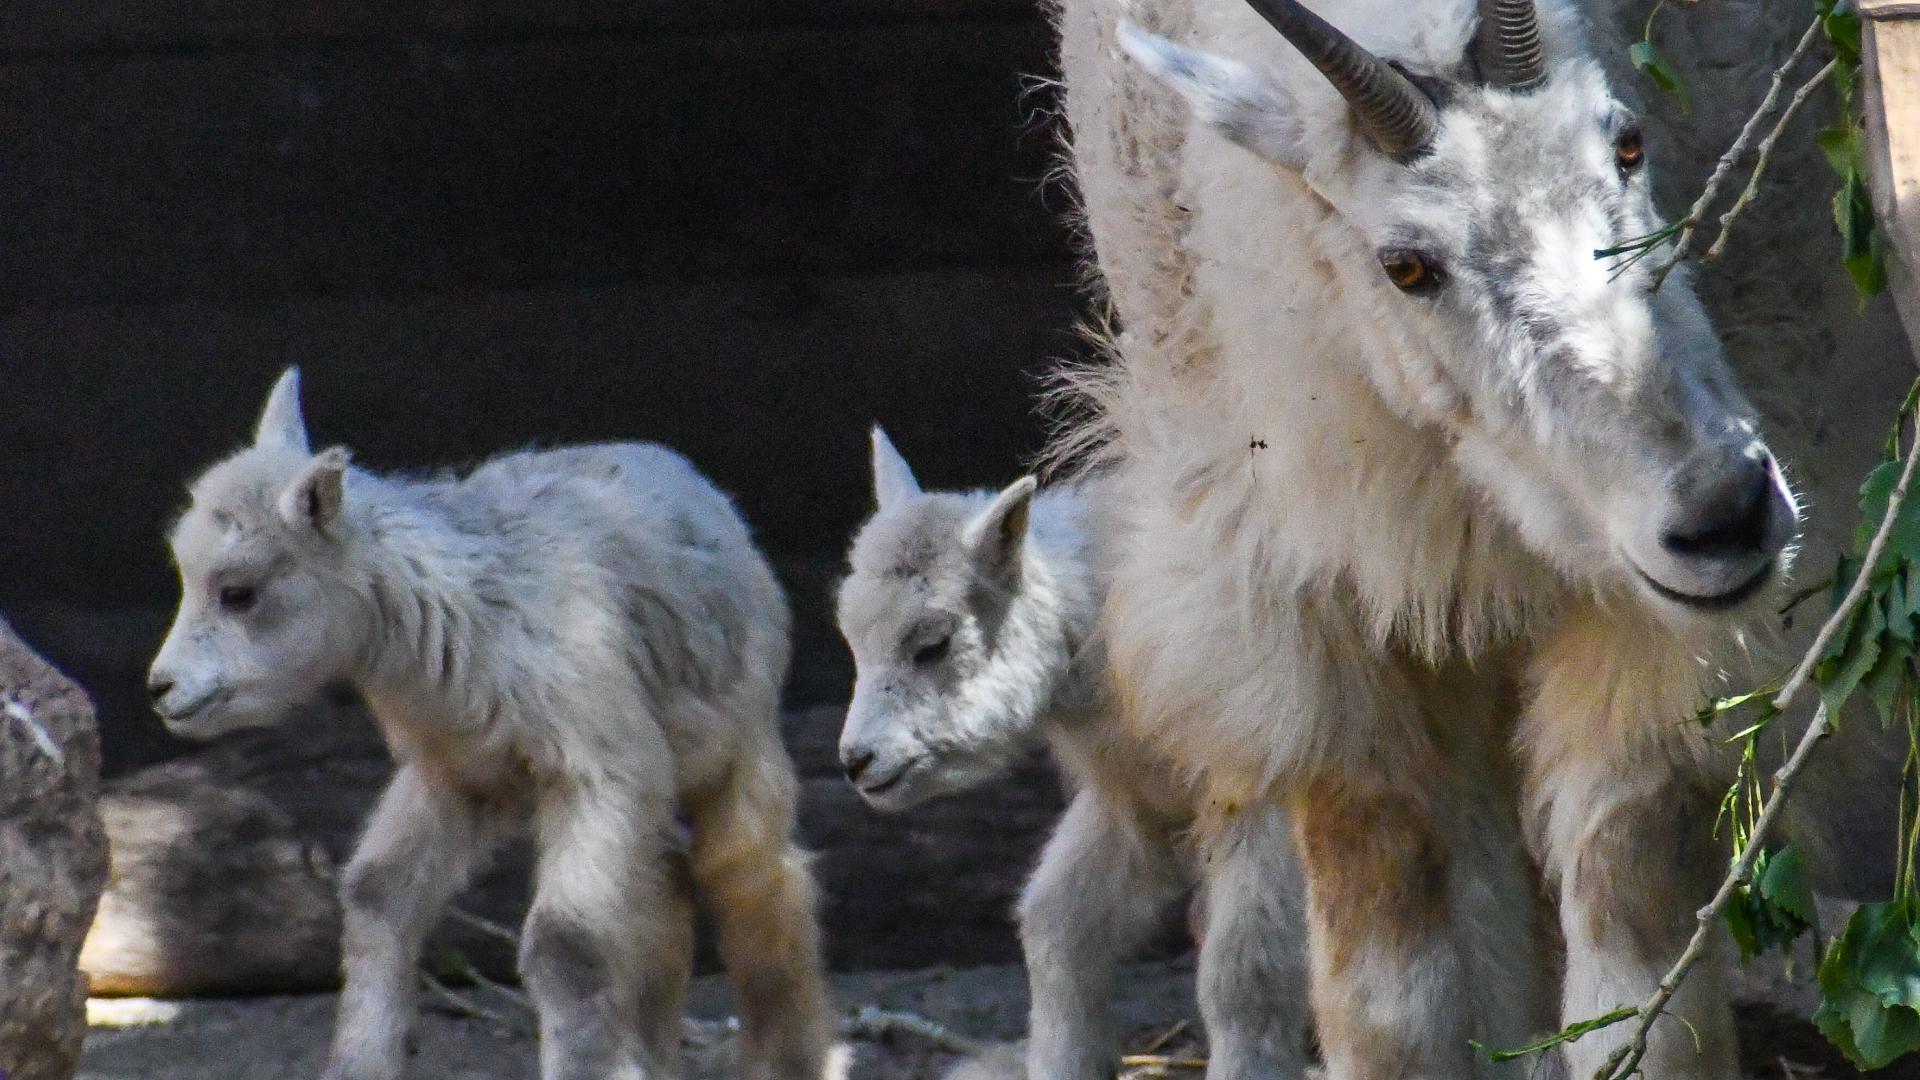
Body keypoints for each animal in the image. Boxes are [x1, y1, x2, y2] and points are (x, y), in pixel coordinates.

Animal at [1059, 0, 1804, 1068]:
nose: (1723, 511)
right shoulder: (1315, 615)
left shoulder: (1650, 627)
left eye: (1626, 142)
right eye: (1405, 265)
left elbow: (1637, 979)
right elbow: (1391, 1004)